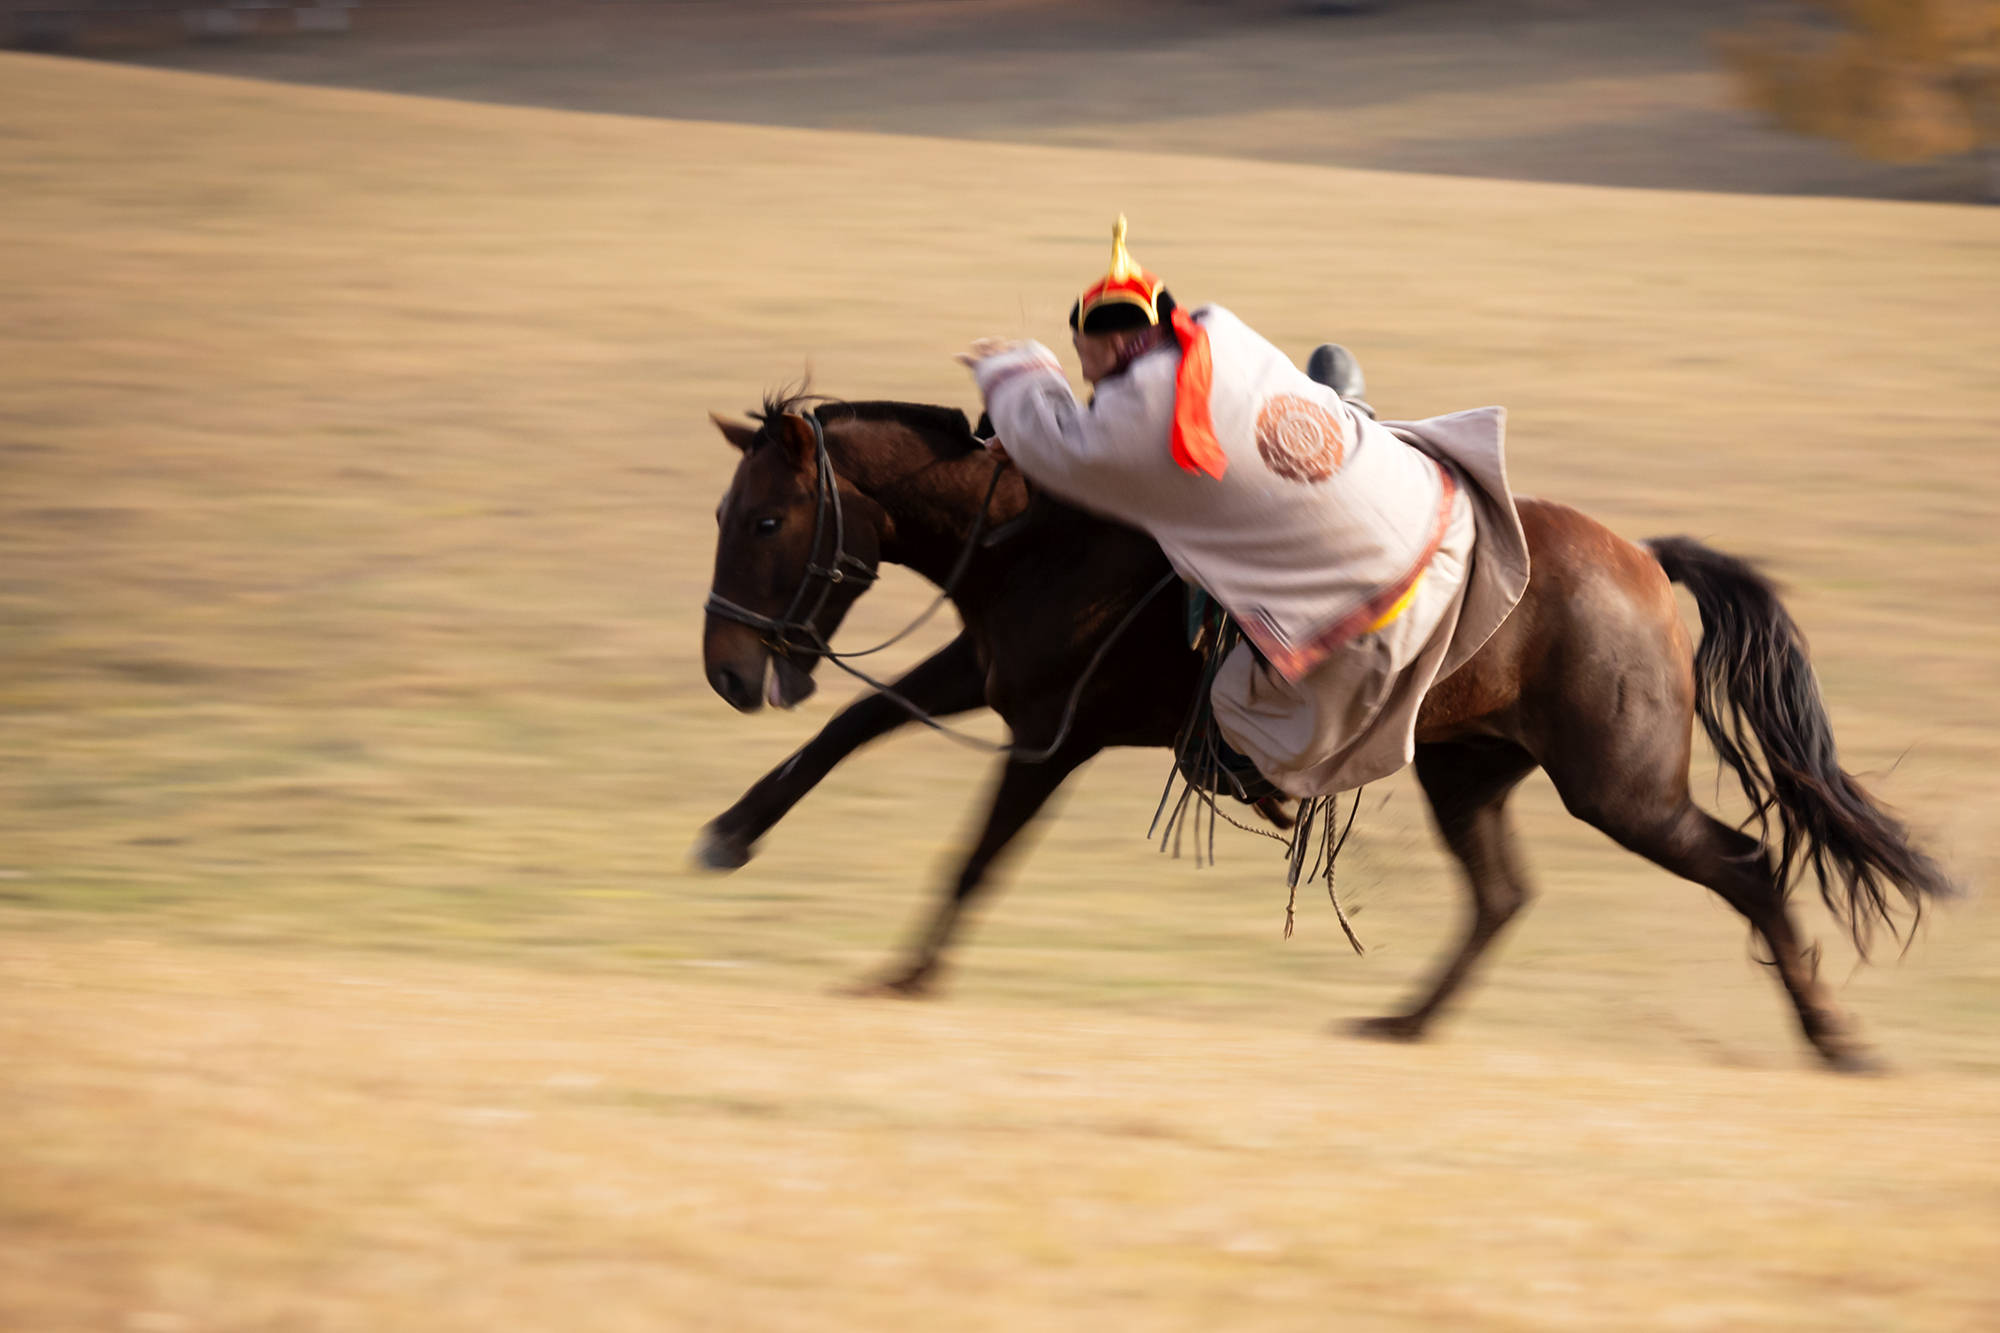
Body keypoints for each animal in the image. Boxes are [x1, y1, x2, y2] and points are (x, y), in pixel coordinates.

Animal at [700, 390, 1952, 1064]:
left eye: (763, 518)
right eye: (725, 510)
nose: (725, 669)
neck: (1040, 527)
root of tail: (1643, 558)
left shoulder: (1049, 732)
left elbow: (973, 854)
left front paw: (904, 975)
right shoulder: (993, 678)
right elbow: (854, 722)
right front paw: (730, 832)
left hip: (1621, 790)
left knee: (1745, 864)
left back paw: (1833, 1040)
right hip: (1468, 772)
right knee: (1502, 895)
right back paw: (1401, 1023)